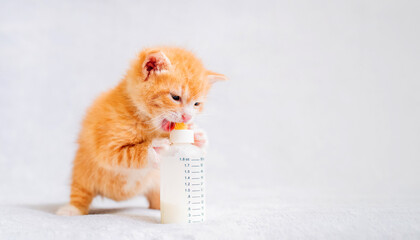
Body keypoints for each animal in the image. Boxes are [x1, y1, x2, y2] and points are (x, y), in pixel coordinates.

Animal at [56, 47, 226, 216]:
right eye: (175, 97)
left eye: (197, 104)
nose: (187, 117)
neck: (146, 123)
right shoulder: (106, 146)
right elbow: (125, 154)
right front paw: (154, 149)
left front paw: (198, 137)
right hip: (82, 170)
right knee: (81, 191)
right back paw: (72, 208)